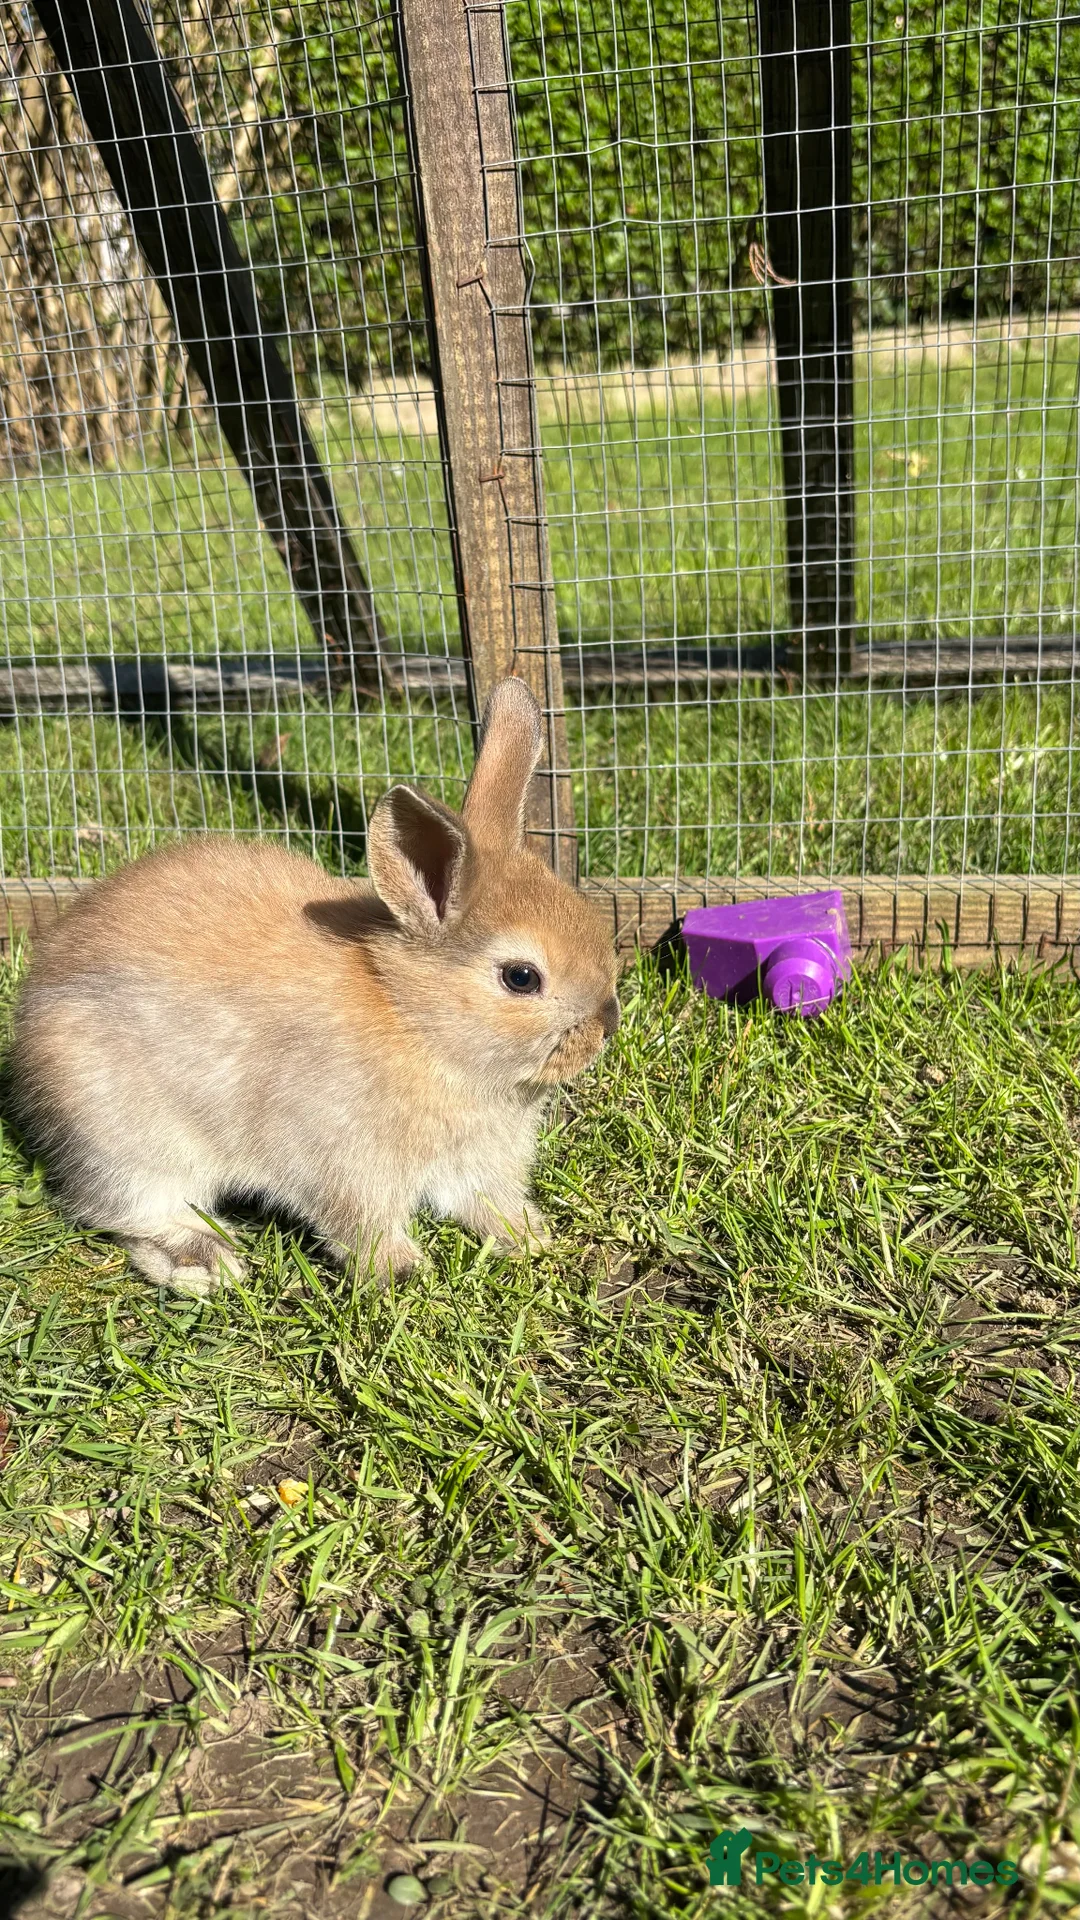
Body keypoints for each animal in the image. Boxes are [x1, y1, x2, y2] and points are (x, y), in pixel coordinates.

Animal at [10, 678, 619, 1294]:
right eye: (522, 978)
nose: (607, 1024)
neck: (415, 1022)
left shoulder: (475, 1165)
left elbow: (487, 1203)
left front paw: (528, 1238)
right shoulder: (343, 1163)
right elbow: (361, 1223)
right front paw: (401, 1273)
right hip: (127, 1141)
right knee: (124, 1211)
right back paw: (208, 1261)